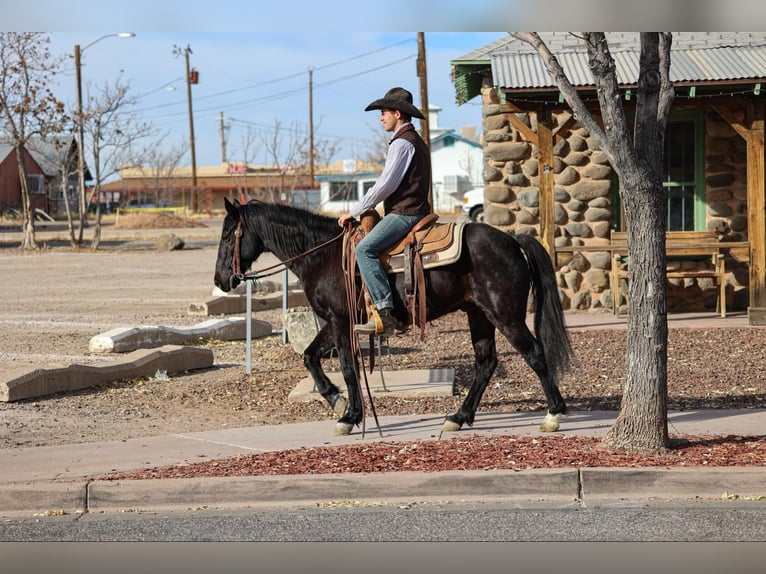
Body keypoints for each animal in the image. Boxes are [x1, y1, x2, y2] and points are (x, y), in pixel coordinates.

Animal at [213, 198, 572, 436]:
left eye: (228, 235)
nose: (221, 280)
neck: (323, 254)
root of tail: (511, 239)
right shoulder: (334, 322)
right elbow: (310, 357)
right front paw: (337, 402)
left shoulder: (341, 322)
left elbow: (347, 368)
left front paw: (349, 416)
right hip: (479, 315)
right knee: (486, 362)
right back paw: (458, 417)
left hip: (504, 314)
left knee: (534, 353)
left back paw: (554, 415)